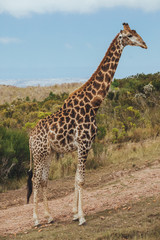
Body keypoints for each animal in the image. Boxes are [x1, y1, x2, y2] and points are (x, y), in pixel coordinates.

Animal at [26, 22, 147, 225]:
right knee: (35, 180)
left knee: (43, 180)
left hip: (48, 153)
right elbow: (81, 180)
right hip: (39, 153)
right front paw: (81, 217)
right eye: (130, 35)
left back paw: (49, 217)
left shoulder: (83, 146)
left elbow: (76, 178)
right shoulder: (84, 143)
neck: (94, 103)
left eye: (136, 32)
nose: (145, 44)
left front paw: (75, 213)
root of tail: (29, 137)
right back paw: (36, 219)